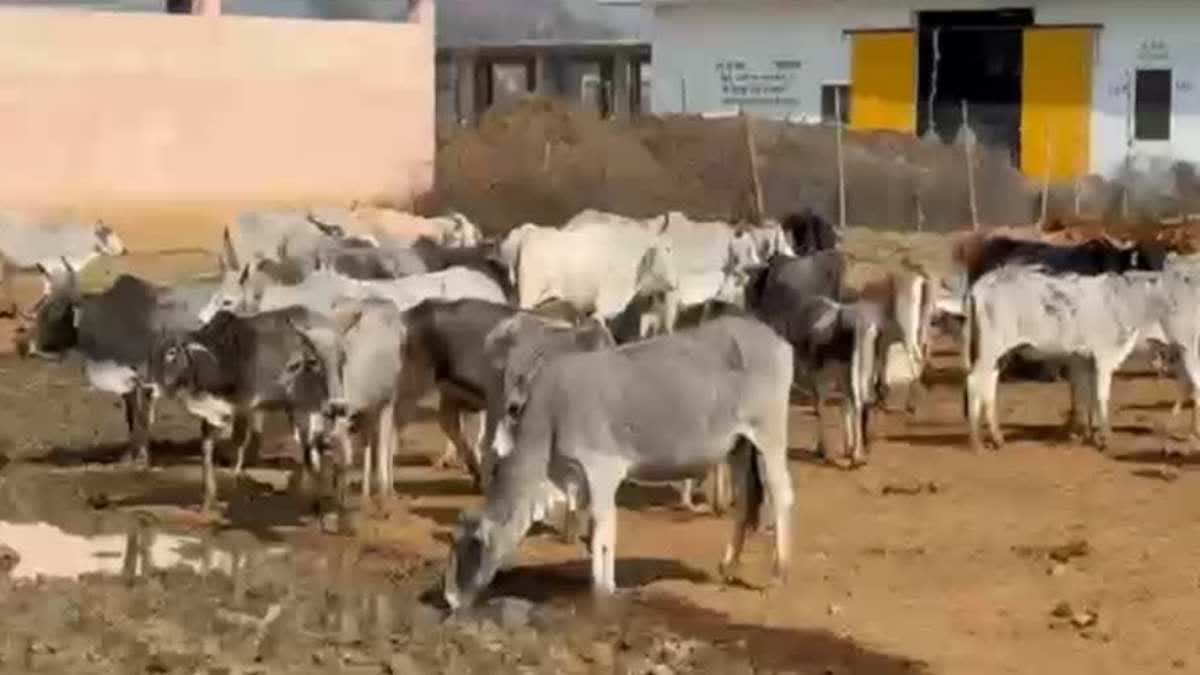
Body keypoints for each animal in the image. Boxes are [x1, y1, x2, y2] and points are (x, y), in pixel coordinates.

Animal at [23, 261, 212, 467]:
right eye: (43, 312)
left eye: (58, 313)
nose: (33, 347)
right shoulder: (126, 383)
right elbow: (131, 417)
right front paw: (129, 455)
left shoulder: (145, 379)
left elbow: (142, 417)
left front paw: (142, 457)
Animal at [148, 307, 336, 513]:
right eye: (152, 354)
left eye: (172, 352)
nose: (149, 387)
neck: (221, 358)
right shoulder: (215, 415)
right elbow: (207, 449)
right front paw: (208, 502)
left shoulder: (243, 407)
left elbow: (237, 443)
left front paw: (235, 482)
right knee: (311, 445)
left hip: (306, 405)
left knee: (310, 445)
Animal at [444, 315, 795, 608]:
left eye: (473, 544)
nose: (449, 598)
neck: (549, 420)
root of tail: (777, 340)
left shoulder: (601, 471)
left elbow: (603, 528)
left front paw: (602, 587)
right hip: (739, 447)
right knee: (745, 502)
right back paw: (728, 564)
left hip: (769, 436)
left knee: (781, 495)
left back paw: (779, 572)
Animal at [962, 265, 1200, 452]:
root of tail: (980, 284)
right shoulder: (1104, 356)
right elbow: (1100, 397)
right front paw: (1105, 437)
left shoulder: (1087, 360)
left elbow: (1089, 396)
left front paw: (1090, 434)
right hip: (991, 347)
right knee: (975, 381)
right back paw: (976, 441)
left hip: (1000, 353)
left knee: (988, 384)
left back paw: (996, 437)